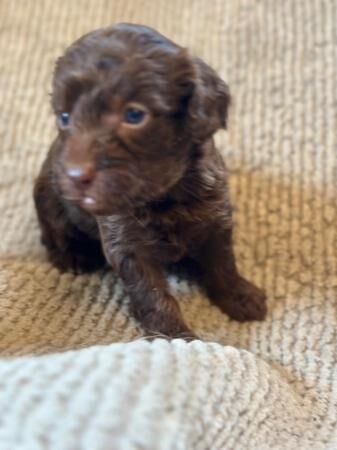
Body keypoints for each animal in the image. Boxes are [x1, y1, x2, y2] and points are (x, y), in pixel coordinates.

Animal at [34, 22, 266, 338]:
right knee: (52, 230)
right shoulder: (126, 244)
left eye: (134, 115)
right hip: (49, 197)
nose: (74, 176)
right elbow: (152, 293)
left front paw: (239, 296)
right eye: (64, 117)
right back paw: (71, 255)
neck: (166, 195)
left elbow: (223, 263)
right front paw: (174, 337)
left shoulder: (216, 217)